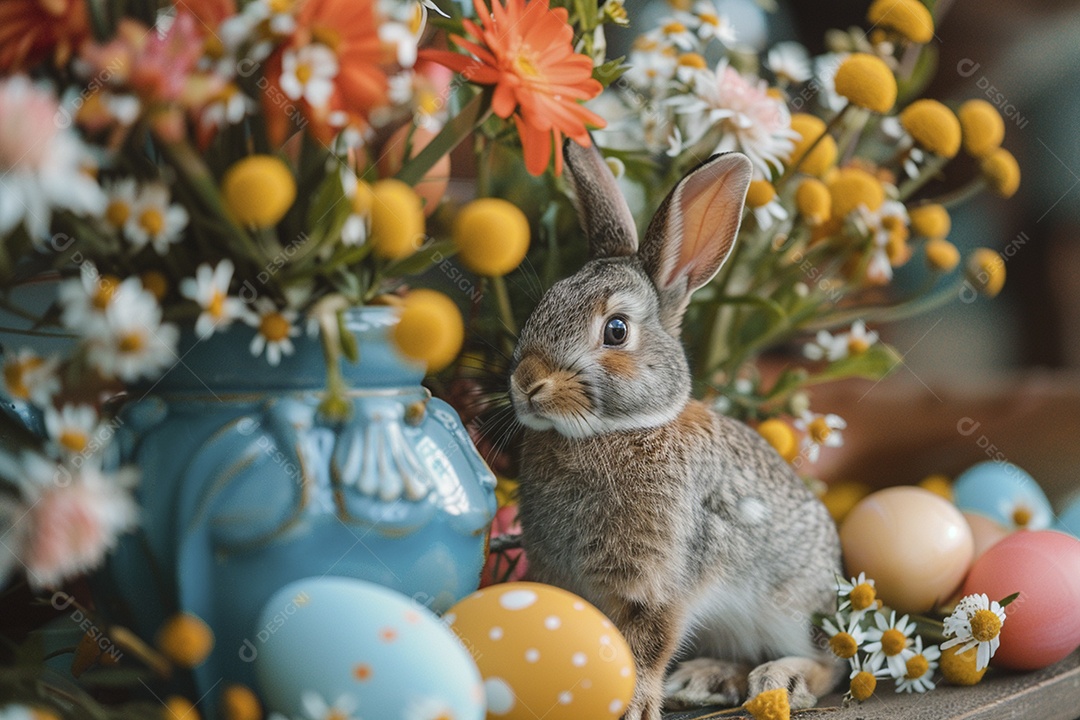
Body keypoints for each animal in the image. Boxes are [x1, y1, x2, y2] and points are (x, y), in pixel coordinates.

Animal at [508, 140, 843, 720]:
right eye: (543, 304)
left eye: (616, 330)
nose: (527, 382)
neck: (611, 431)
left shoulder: (660, 583)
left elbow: (646, 646)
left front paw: (633, 706)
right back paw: (704, 679)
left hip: (789, 608)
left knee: (834, 663)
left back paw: (781, 680)